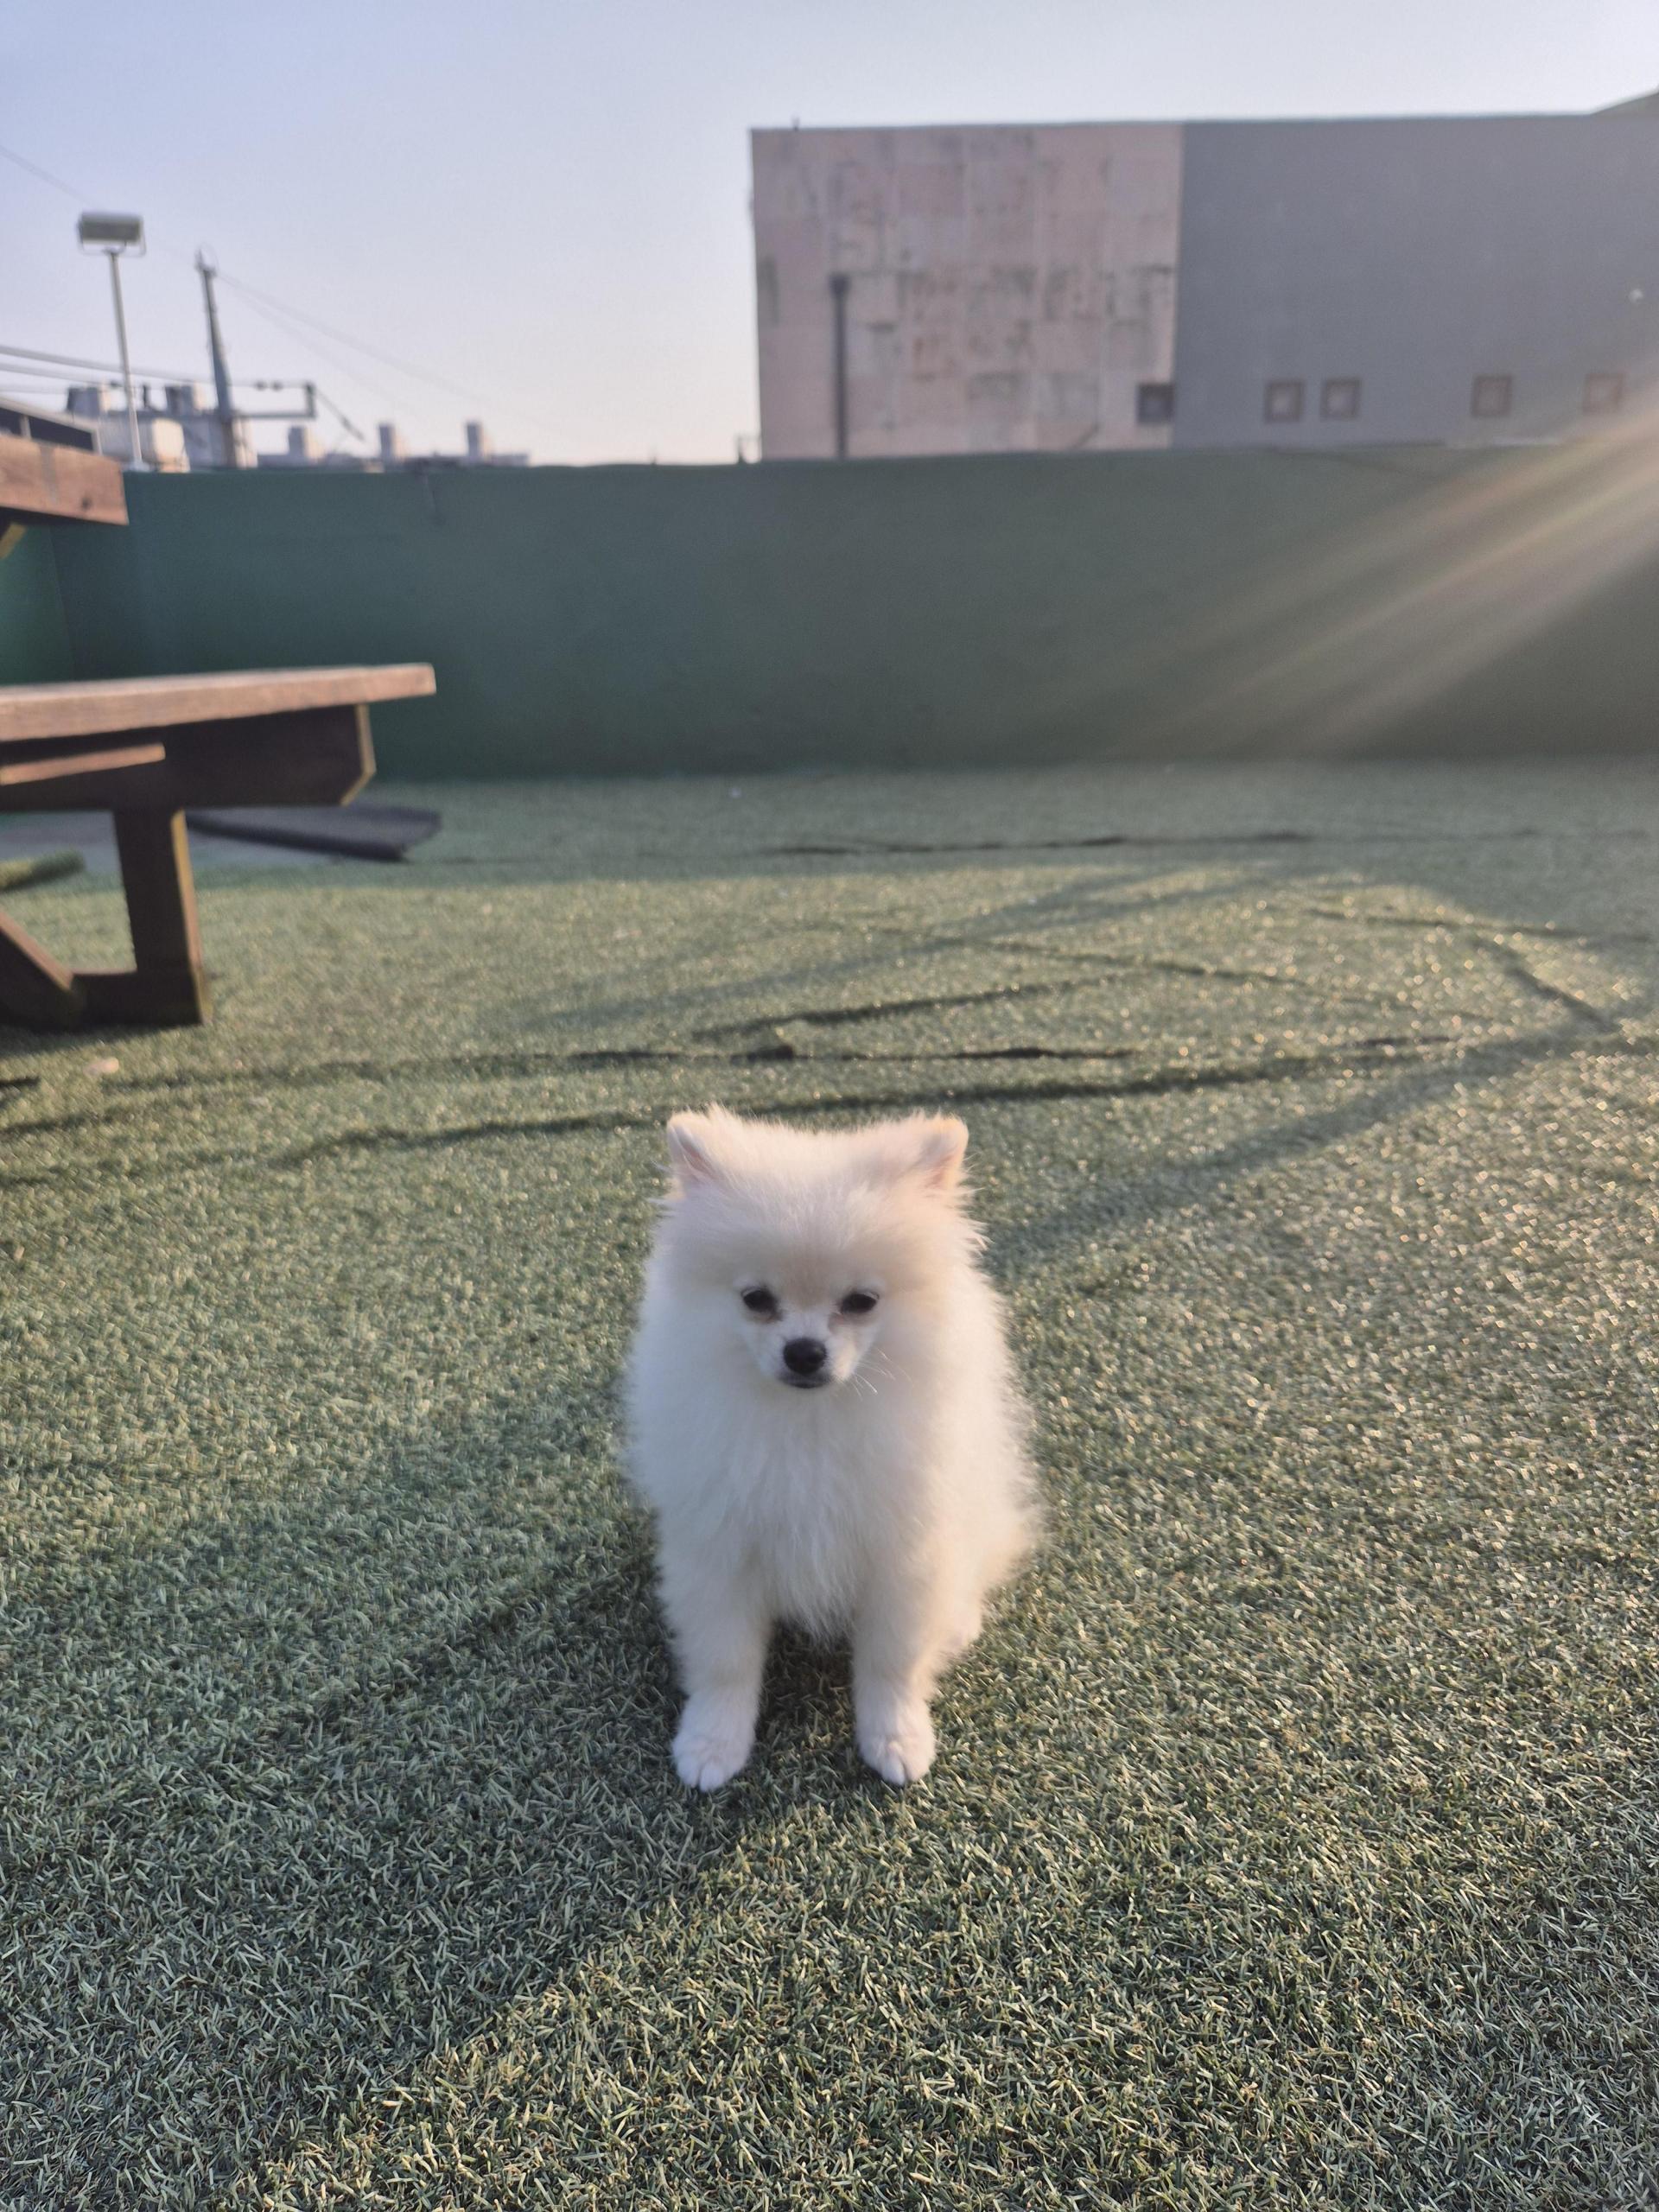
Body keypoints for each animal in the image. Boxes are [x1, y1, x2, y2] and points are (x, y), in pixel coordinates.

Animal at [626, 1105, 1038, 1789]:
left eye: (861, 1302)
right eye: (756, 1299)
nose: (804, 1351)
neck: (810, 1424)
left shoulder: (902, 1553)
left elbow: (891, 1662)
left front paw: (896, 1736)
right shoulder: (720, 1549)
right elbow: (726, 1660)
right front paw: (713, 1743)